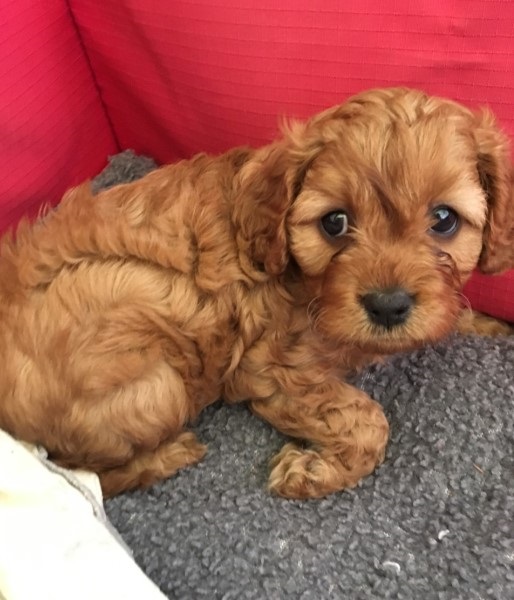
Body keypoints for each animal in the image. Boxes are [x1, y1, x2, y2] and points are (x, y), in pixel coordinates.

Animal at [1, 86, 512, 496]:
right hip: (158, 383)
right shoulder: (267, 370)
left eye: (444, 219)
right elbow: (368, 420)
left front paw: (490, 325)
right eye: (334, 222)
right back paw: (168, 455)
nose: (388, 306)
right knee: (86, 472)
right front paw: (314, 472)